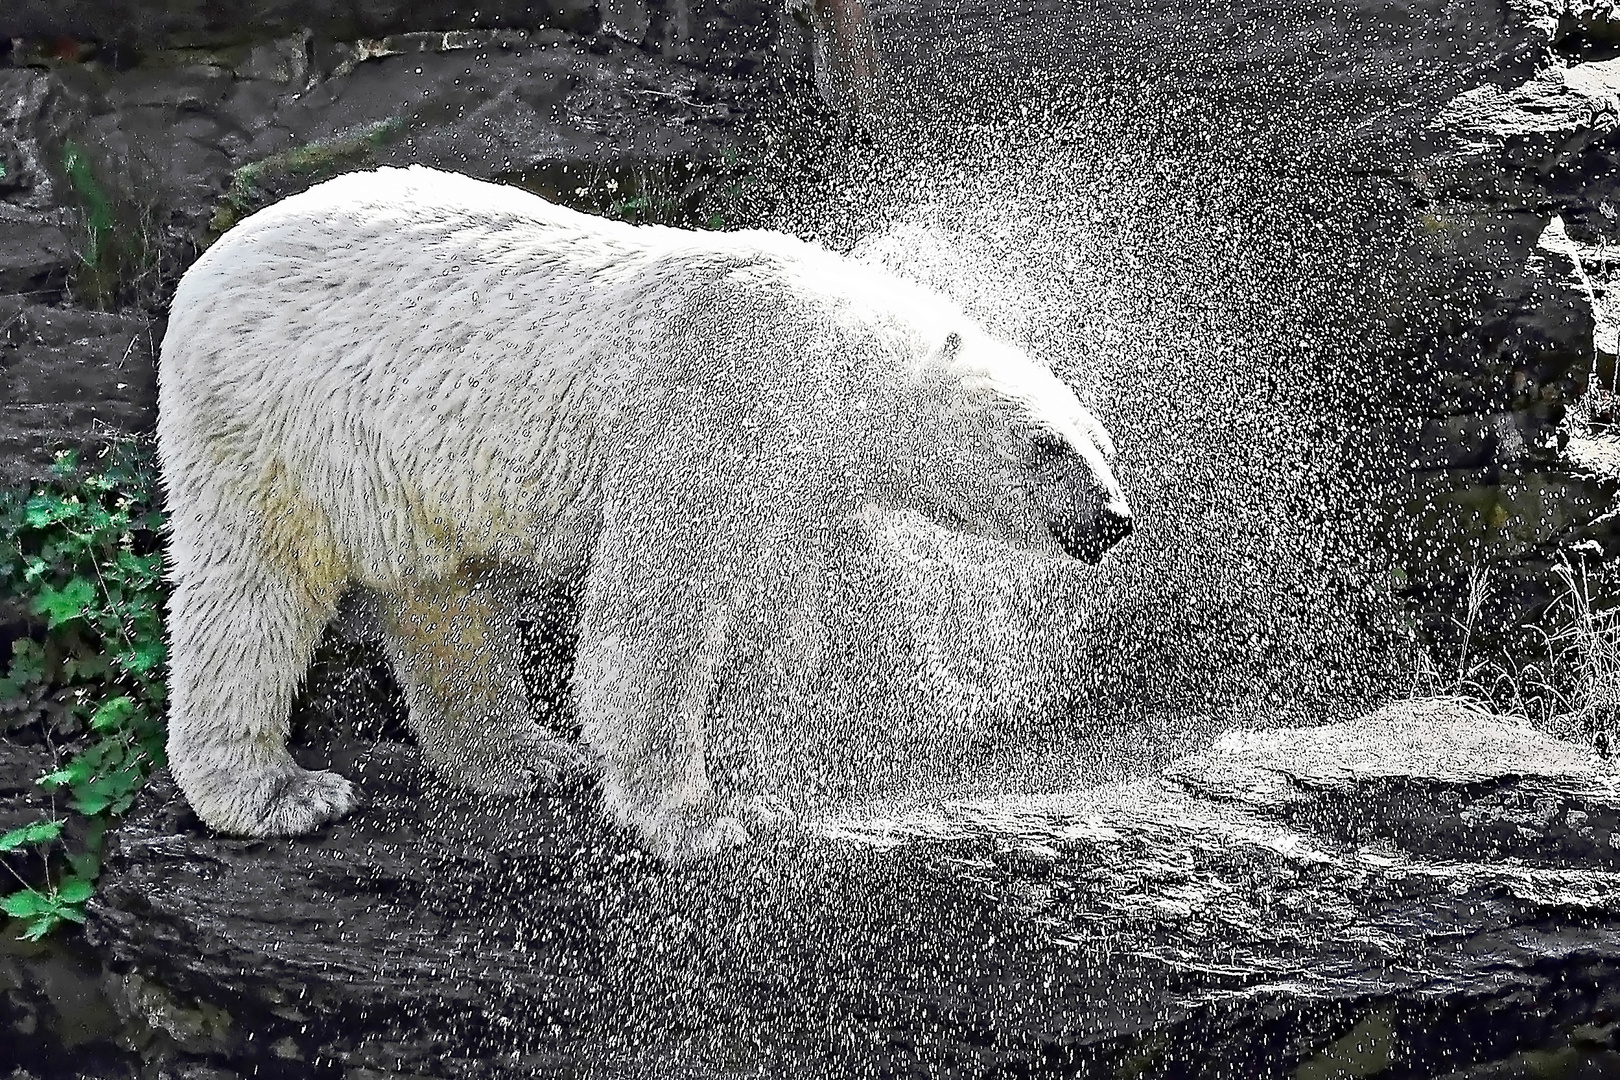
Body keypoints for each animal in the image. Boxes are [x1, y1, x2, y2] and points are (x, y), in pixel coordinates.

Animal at [157, 166, 1134, 861]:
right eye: (1051, 446)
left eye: (1106, 443)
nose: (1114, 521)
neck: (813, 353)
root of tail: (207, 265)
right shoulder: (699, 415)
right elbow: (652, 620)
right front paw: (696, 817)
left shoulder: (794, 492)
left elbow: (782, 621)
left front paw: (765, 772)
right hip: (273, 424)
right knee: (250, 596)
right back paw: (277, 793)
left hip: (411, 474)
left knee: (452, 604)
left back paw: (525, 758)